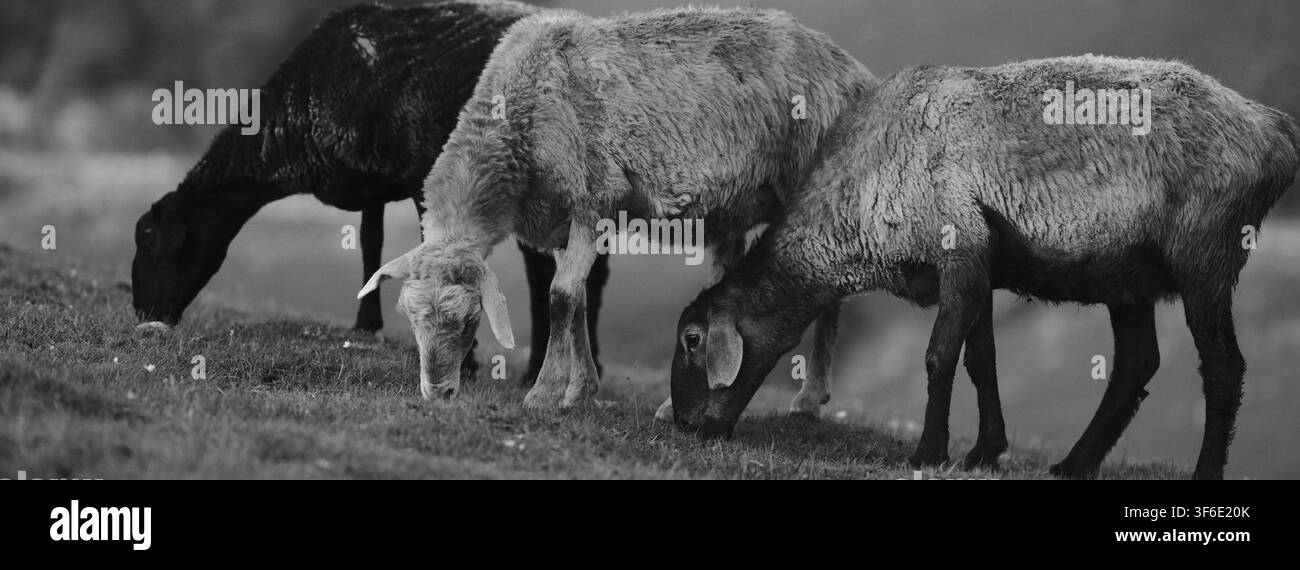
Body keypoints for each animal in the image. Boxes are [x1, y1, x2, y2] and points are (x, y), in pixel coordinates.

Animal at [130, 1, 618, 381]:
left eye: (149, 238)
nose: (141, 312)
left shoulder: (424, 174)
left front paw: (463, 362)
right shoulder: (375, 182)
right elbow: (370, 244)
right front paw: (366, 325)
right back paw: (566, 367)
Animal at [357, 7, 876, 407]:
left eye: (469, 319)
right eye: (409, 316)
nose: (438, 394)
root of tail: (855, 71)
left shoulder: (594, 196)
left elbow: (560, 296)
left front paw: (545, 393)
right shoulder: (563, 221)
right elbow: (578, 298)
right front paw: (581, 390)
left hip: (810, 178)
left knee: (828, 283)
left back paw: (810, 399)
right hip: (732, 206)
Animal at [668, 55, 1300, 480]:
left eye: (693, 339)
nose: (684, 426)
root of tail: (1274, 128)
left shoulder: (961, 242)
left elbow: (939, 357)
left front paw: (929, 451)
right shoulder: (980, 265)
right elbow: (981, 360)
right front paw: (983, 452)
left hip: (1207, 255)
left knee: (1223, 368)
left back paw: (1203, 472)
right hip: (1130, 273)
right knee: (1136, 363)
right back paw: (1074, 463)